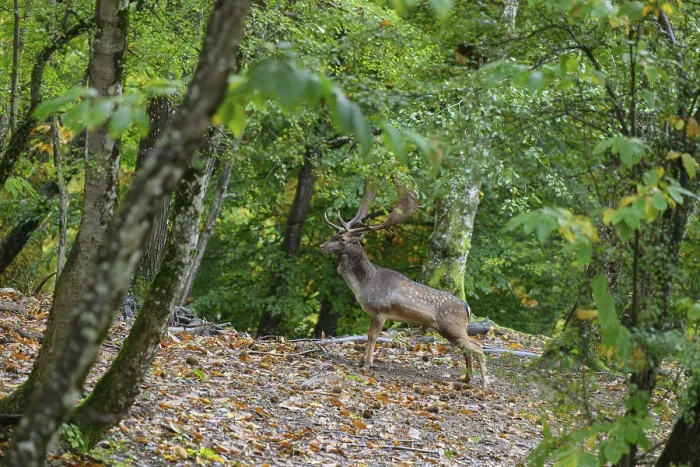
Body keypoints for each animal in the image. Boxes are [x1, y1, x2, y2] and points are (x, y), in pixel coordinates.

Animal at [320, 178, 489, 390]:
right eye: (335, 234)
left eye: (342, 239)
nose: (322, 245)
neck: (365, 285)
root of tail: (467, 308)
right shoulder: (373, 313)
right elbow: (369, 335)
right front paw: (361, 362)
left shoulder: (381, 310)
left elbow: (372, 336)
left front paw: (366, 364)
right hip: (452, 330)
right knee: (468, 348)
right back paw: (466, 378)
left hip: (453, 327)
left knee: (478, 346)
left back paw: (484, 382)